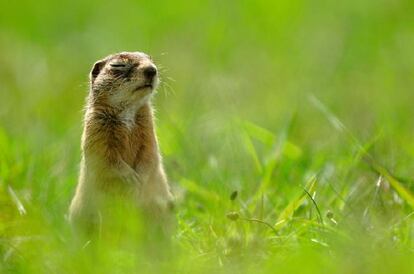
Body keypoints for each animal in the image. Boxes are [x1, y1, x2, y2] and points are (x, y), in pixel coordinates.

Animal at [68, 51, 172, 233]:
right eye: (118, 65)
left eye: (151, 59)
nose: (152, 70)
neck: (128, 110)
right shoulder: (96, 129)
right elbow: (106, 157)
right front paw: (130, 178)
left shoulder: (148, 129)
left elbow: (149, 153)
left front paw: (141, 178)